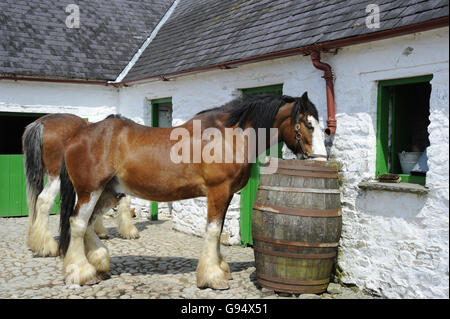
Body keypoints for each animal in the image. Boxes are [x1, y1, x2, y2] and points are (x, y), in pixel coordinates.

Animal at [22, 114, 138, 258]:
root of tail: (42, 122)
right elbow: (125, 201)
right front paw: (129, 231)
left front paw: (99, 230)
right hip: (56, 176)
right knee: (44, 200)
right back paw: (47, 246)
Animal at [59, 92, 326, 290]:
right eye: (308, 124)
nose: (321, 160)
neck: (229, 136)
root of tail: (77, 136)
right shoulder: (218, 191)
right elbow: (213, 230)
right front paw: (213, 277)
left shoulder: (227, 194)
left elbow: (218, 231)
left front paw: (221, 269)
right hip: (90, 190)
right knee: (78, 223)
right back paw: (82, 273)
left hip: (107, 192)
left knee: (89, 223)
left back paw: (99, 265)